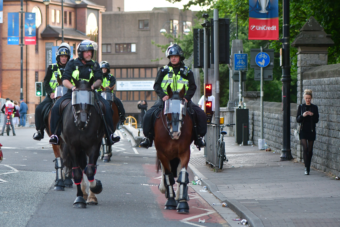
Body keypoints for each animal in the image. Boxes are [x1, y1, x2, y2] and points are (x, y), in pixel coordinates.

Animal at [61, 77, 105, 208]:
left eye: (90, 99)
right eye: (76, 98)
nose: (82, 121)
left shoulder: (94, 145)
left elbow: (90, 170)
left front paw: (96, 188)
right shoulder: (72, 146)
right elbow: (77, 173)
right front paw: (79, 199)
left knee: (88, 168)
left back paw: (90, 195)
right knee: (81, 167)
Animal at [155, 86, 193, 214]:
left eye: (183, 111)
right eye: (168, 112)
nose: (176, 134)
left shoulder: (185, 152)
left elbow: (182, 175)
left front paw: (182, 203)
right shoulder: (162, 154)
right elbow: (168, 176)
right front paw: (170, 202)